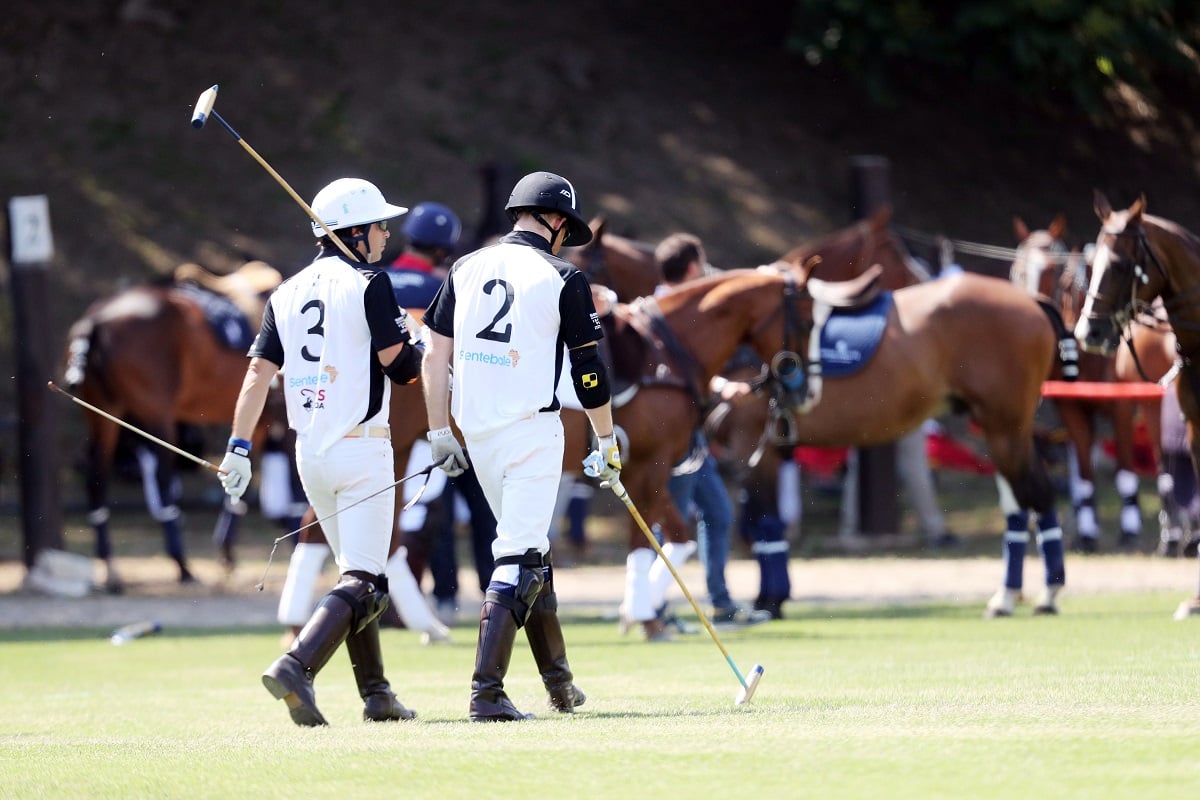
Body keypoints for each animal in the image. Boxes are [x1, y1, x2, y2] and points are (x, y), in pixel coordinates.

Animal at [63, 261, 283, 587]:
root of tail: (96, 319)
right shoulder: (272, 418)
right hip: (157, 416)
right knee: (165, 483)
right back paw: (182, 565)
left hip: (103, 413)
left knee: (96, 476)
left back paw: (110, 568)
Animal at [614, 266, 1065, 623]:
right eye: (805, 322)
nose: (803, 387)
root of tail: (1028, 298)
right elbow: (760, 523)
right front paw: (770, 598)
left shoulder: (753, 447)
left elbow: (765, 521)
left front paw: (770, 601)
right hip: (998, 426)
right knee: (1020, 502)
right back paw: (1014, 596)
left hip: (1005, 425)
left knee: (1037, 495)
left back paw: (1040, 594)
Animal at [1012, 212, 1142, 554]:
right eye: (1017, 269)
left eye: (1051, 268)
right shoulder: (1072, 410)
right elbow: (1084, 474)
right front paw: (1086, 534)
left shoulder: (1122, 408)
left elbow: (1126, 468)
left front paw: (1130, 532)